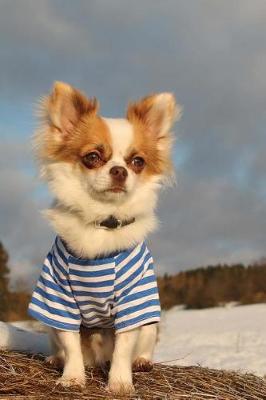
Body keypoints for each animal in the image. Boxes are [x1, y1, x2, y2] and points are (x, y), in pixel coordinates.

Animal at [28, 81, 181, 394]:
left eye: (137, 162)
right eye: (93, 157)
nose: (119, 170)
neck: (102, 222)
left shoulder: (135, 301)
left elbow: (123, 348)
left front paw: (120, 383)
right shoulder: (58, 300)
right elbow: (71, 344)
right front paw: (72, 378)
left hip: (150, 326)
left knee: (142, 347)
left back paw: (142, 362)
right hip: (50, 324)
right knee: (61, 345)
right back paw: (55, 359)